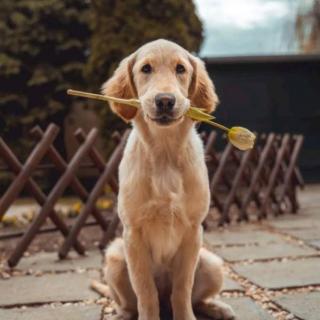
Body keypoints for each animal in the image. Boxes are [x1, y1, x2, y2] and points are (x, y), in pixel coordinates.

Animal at [91, 39, 234, 320]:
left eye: (181, 69)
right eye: (146, 68)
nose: (165, 101)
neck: (165, 153)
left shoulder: (193, 231)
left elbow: (183, 289)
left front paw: (186, 316)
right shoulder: (133, 233)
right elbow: (146, 292)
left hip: (212, 263)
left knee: (193, 299)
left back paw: (217, 307)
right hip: (115, 257)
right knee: (129, 303)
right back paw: (121, 314)